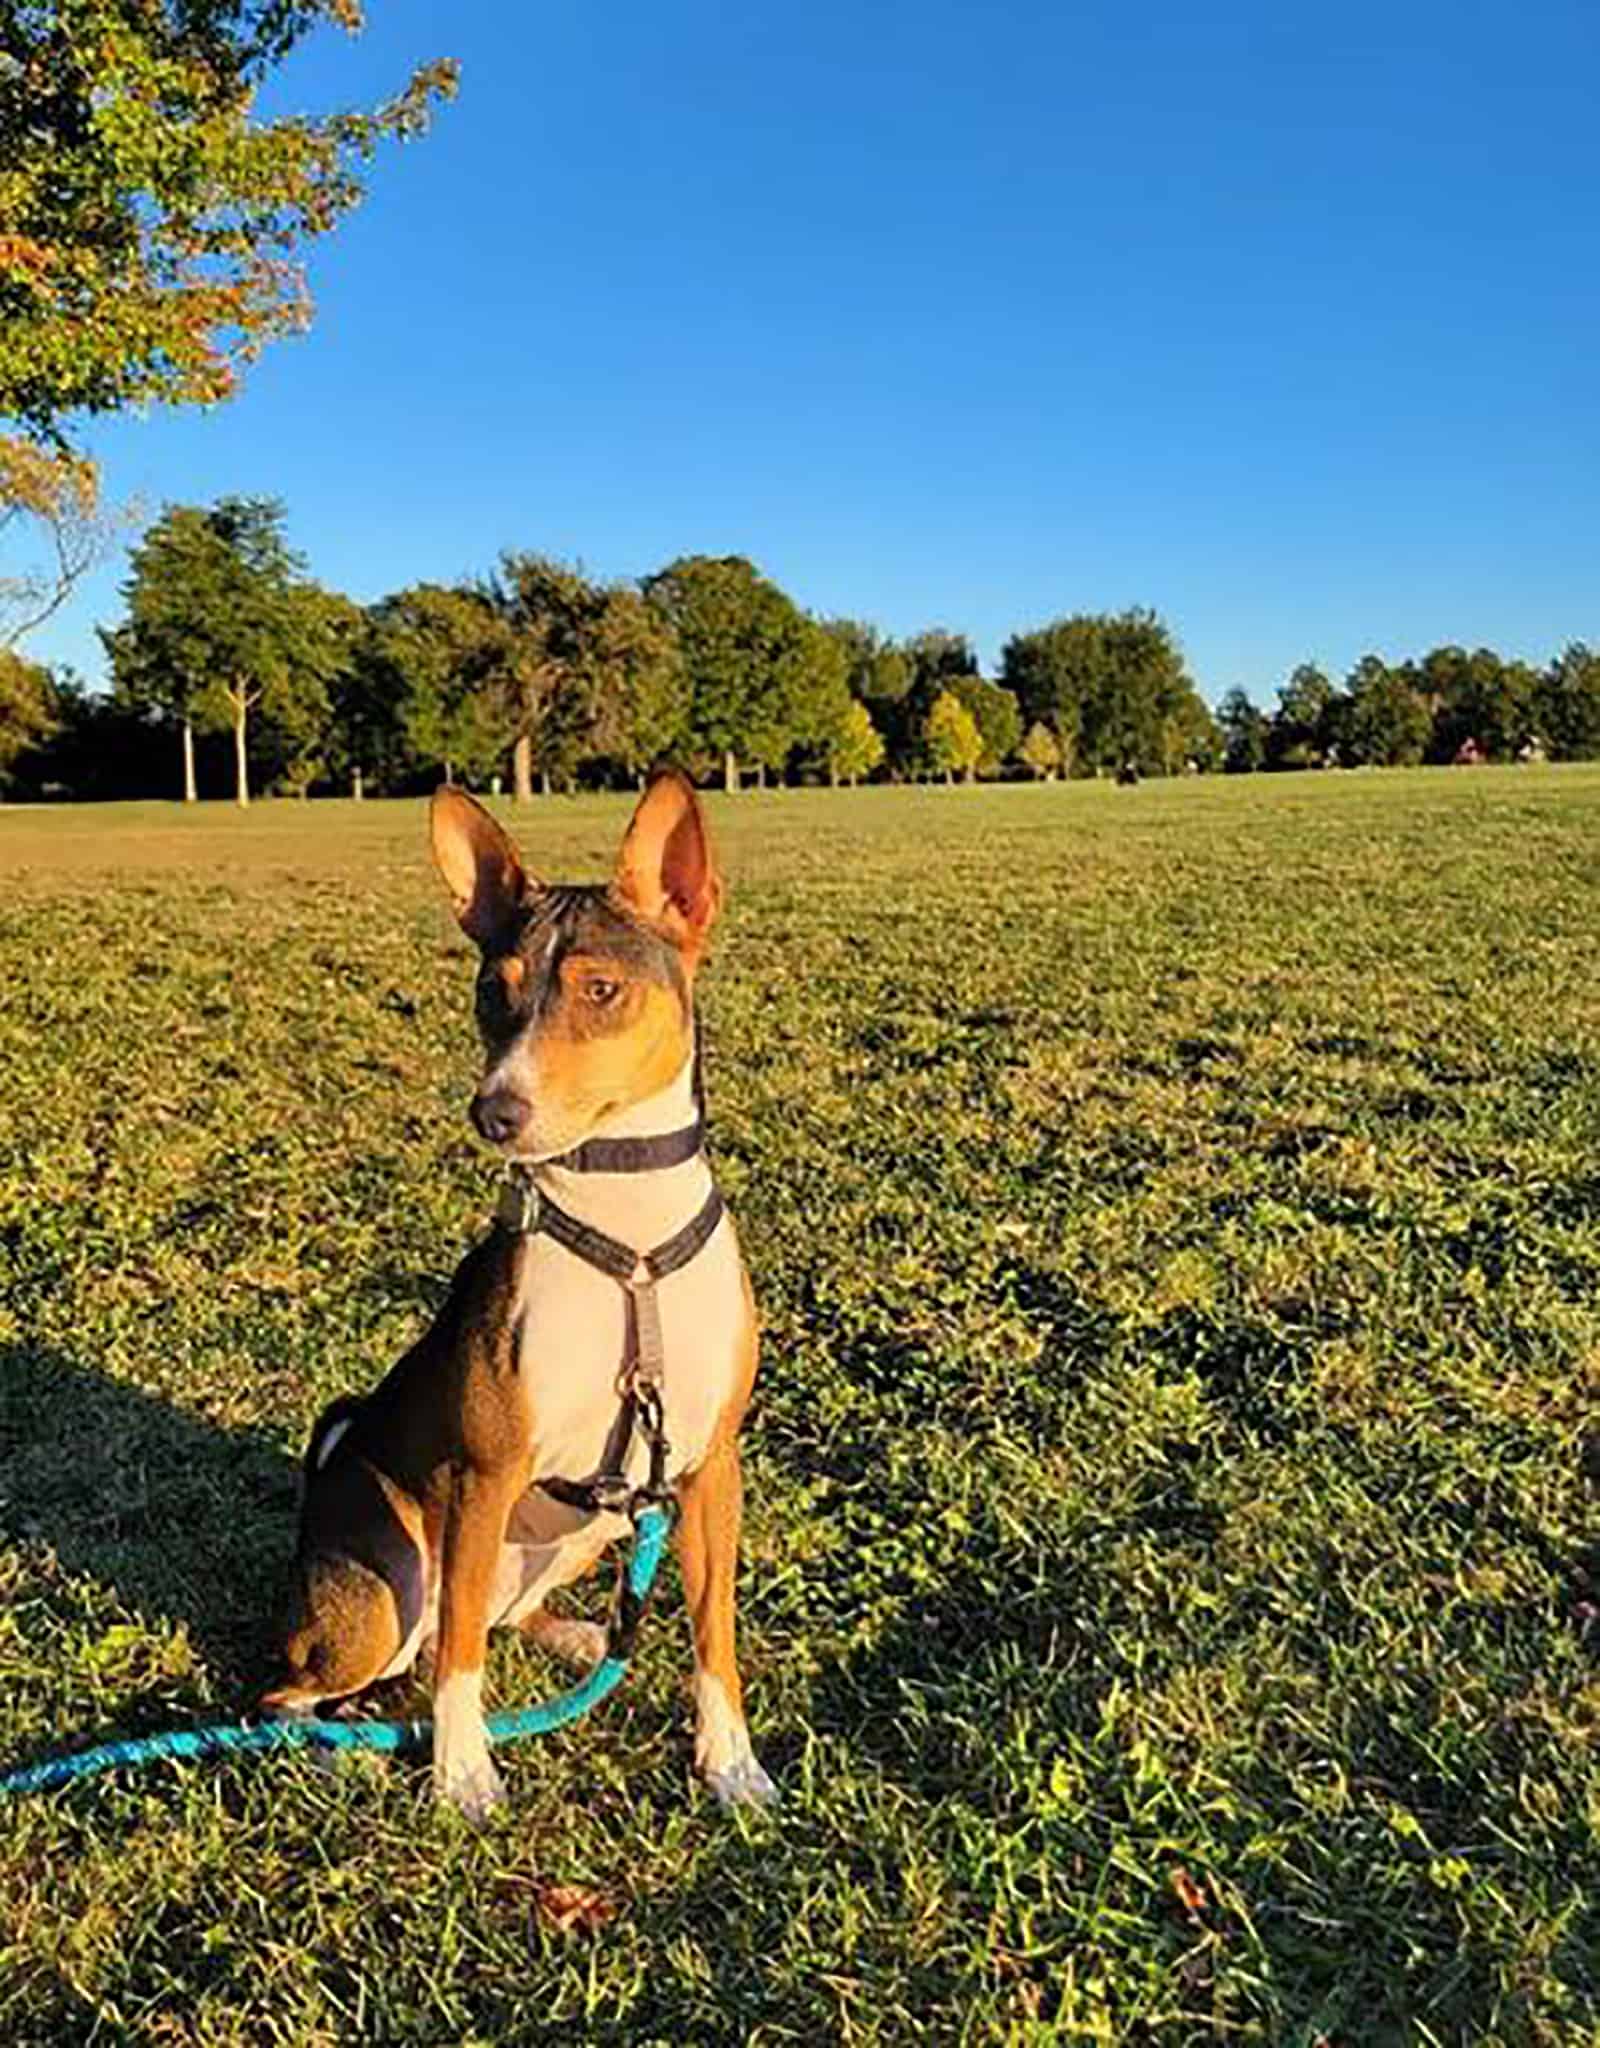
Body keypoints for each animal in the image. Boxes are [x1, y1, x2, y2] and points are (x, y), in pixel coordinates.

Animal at [264, 774, 778, 1818]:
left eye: (601, 990)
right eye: (489, 993)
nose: (494, 1110)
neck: (629, 1244)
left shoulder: (708, 1470)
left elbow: (715, 1635)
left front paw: (730, 1763)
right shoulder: (484, 1474)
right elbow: (461, 1660)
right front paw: (463, 1773)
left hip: (587, 1530)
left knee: (494, 1620)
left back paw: (580, 1637)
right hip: (391, 1585)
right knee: (307, 1685)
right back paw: (342, 1746)